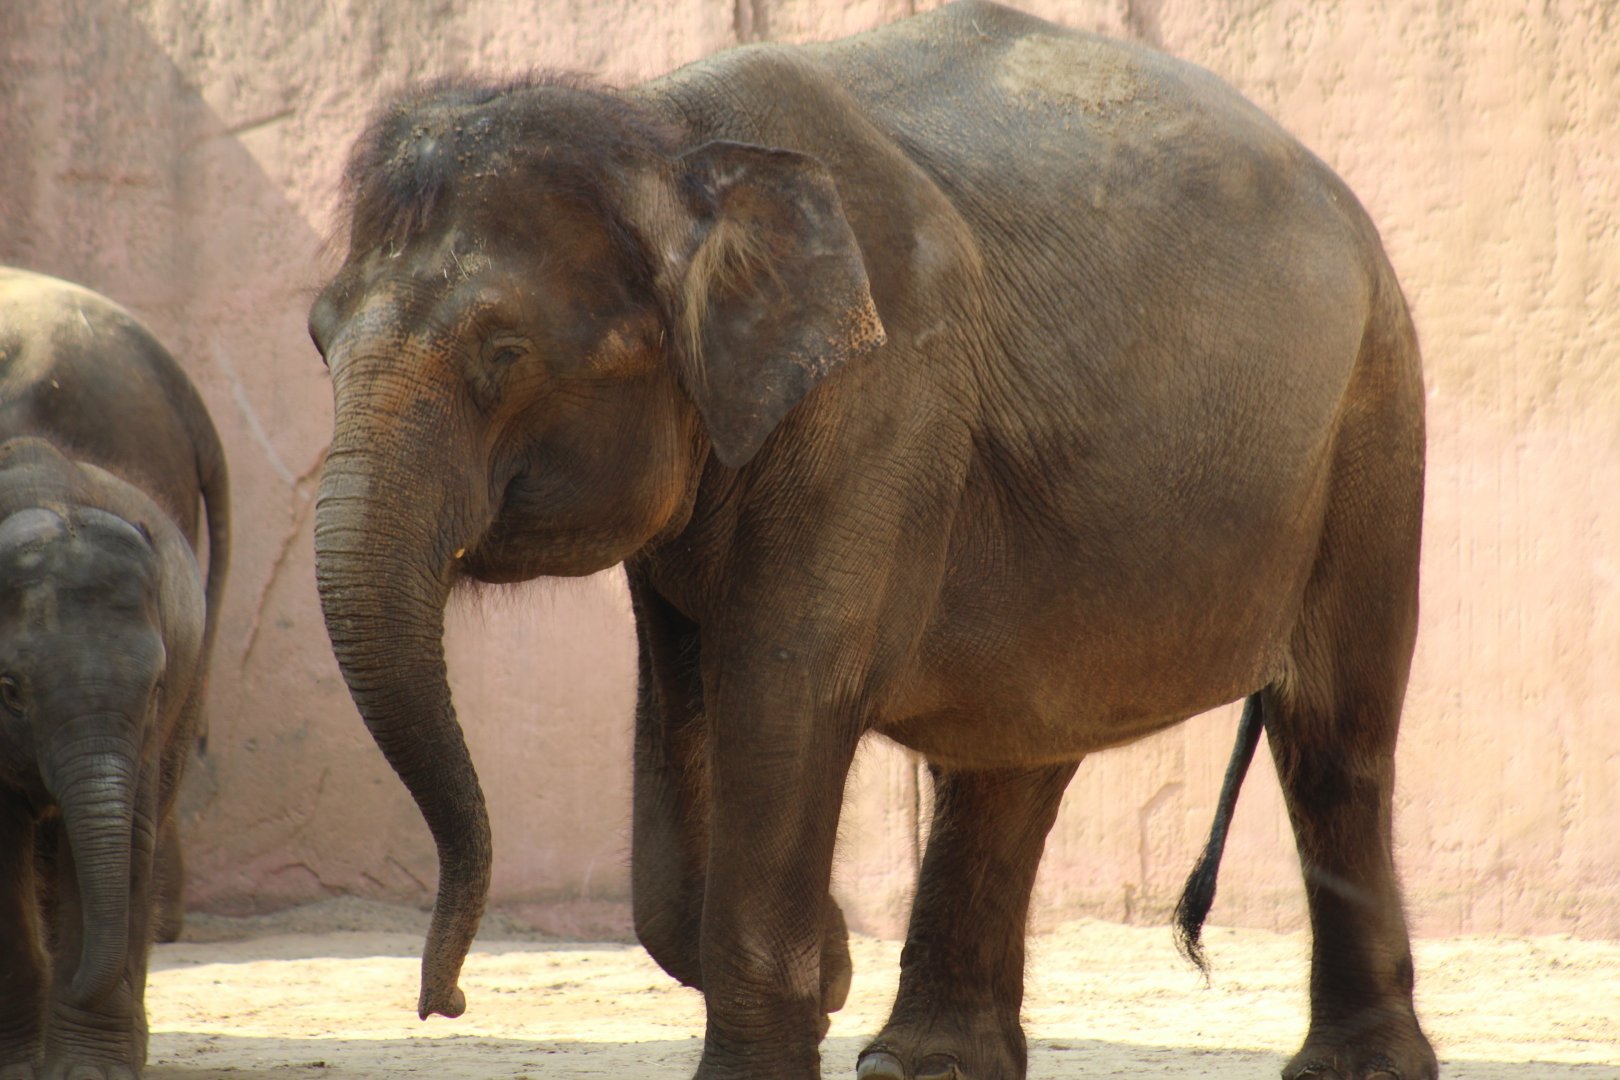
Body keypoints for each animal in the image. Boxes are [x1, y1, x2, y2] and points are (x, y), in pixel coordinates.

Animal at [0, 438, 207, 1080]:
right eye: (9, 688)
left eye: (157, 686)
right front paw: (20, 1068)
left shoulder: (151, 726)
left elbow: (130, 837)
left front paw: (89, 1072)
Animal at [308, 4, 1432, 1079]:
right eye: (318, 340)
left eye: (502, 351)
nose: (444, 1002)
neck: (667, 138)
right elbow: (685, 704)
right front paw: (833, 966)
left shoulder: (885, 399)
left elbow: (781, 688)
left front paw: (814, 982)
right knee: (1010, 755)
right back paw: (921, 1064)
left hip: (1374, 418)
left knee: (1334, 735)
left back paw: (1358, 1066)